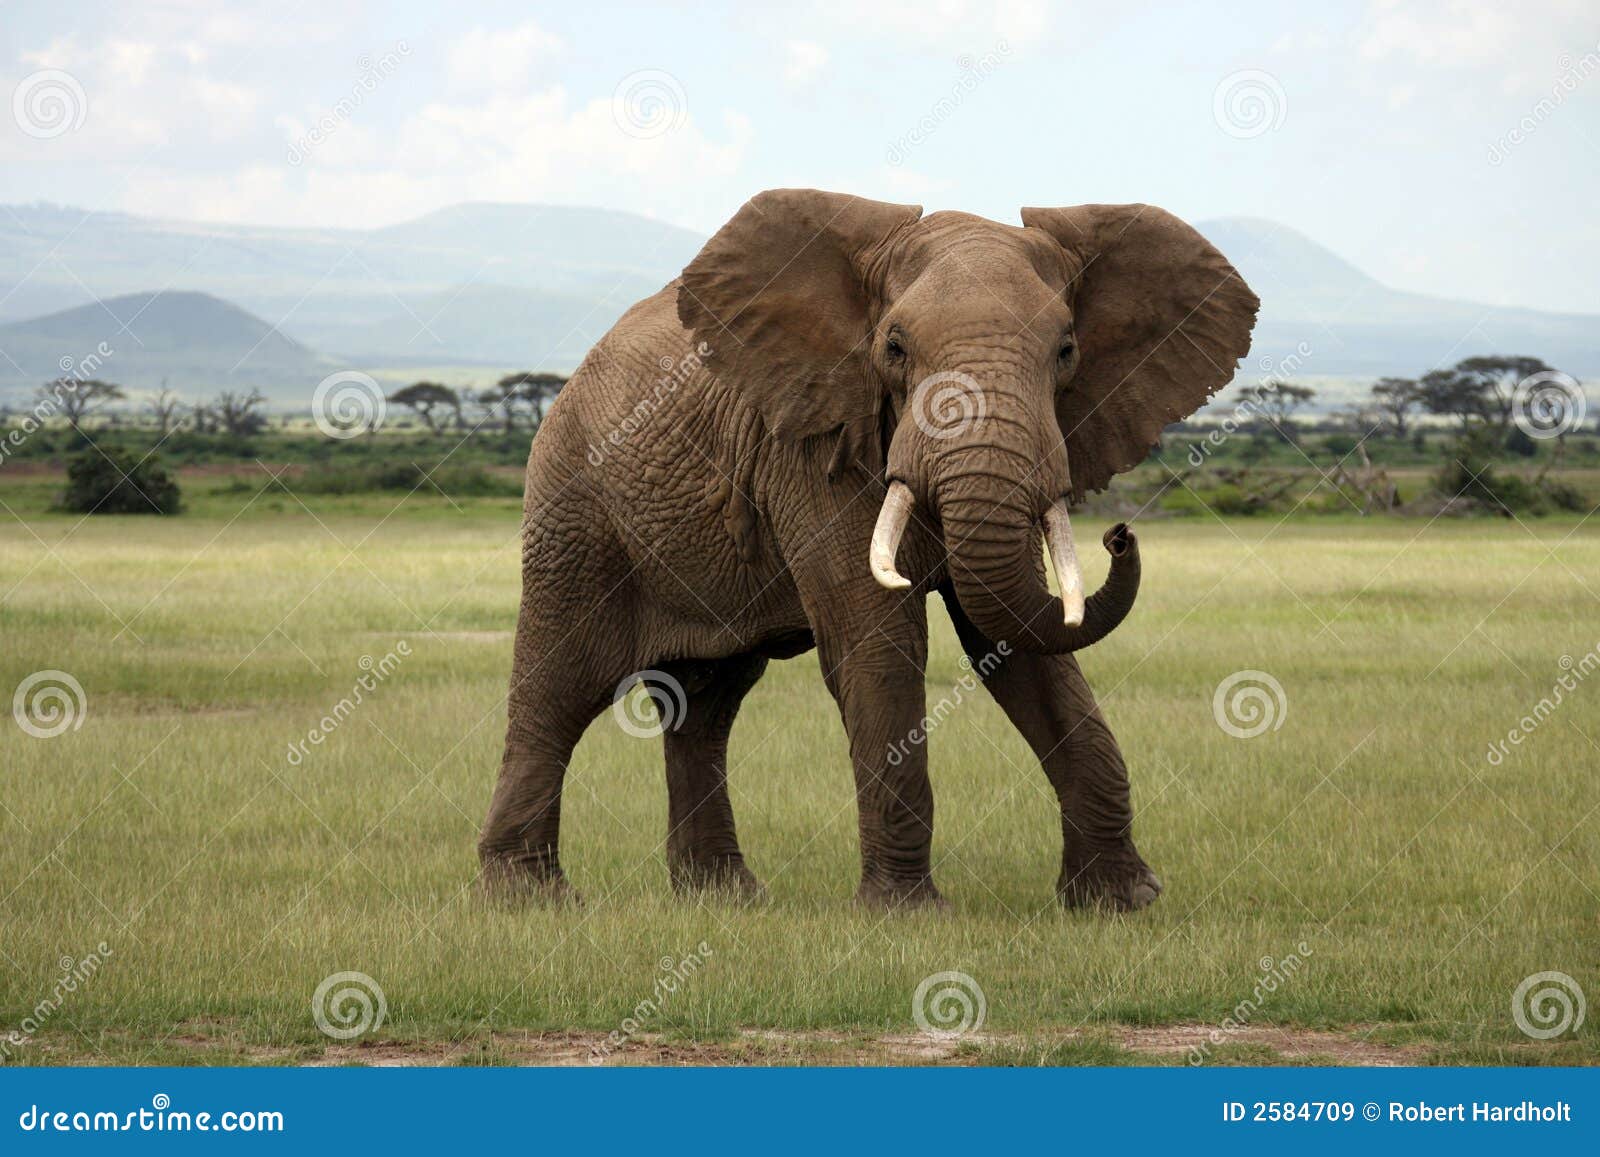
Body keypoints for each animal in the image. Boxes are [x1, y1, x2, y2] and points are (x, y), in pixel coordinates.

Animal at [480, 192, 1254, 915]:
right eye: (895, 350)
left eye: (1066, 352)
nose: (1119, 535)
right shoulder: (812, 445)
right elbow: (880, 641)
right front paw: (907, 915)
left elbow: (1020, 644)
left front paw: (1122, 903)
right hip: (573, 510)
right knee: (561, 685)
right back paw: (530, 898)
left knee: (705, 706)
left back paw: (726, 899)